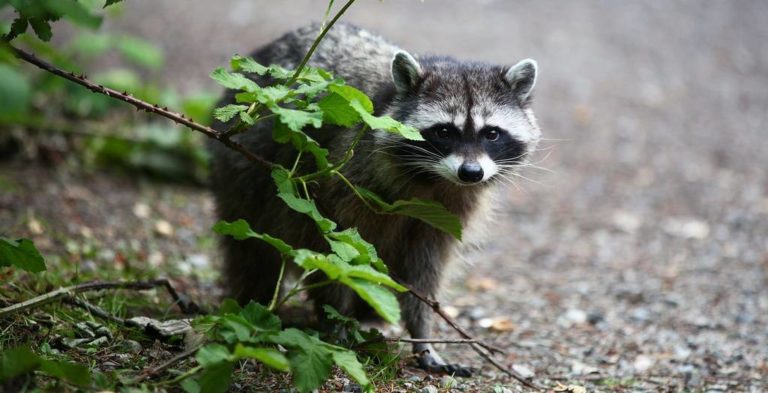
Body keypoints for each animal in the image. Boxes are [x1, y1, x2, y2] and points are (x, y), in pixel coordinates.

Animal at [207, 23, 544, 374]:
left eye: (491, 134)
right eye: (444, 132)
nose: (471, 173)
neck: (432, 179)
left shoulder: (447, 213)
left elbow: (425, 273)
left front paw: (422, 334)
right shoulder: (339, 183)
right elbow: (331, 251)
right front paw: (336, 322)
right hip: (241, 174)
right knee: (253, 251)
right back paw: (256, 296)